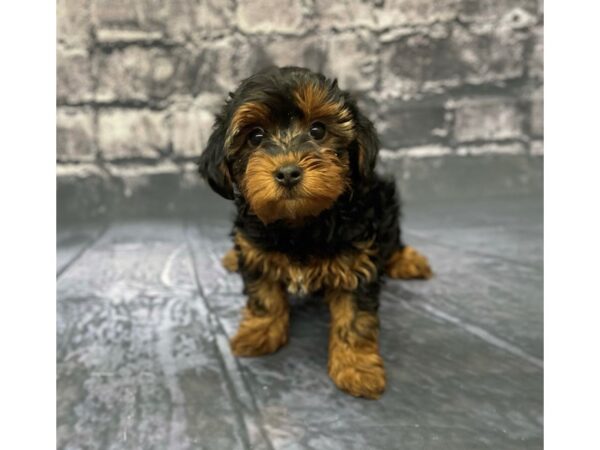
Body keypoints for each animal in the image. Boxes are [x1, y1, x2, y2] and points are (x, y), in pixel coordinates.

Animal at [198, 66, 432, 398]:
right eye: (255, 136)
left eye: (318, 130)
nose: (288, 173)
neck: (301, 223)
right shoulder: (257, 251)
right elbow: (264, 297)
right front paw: (259, 333)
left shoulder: (356, 260)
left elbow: (355, 318)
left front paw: (357, 368)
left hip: (385, 204)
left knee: (393, 239)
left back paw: (407, 260)